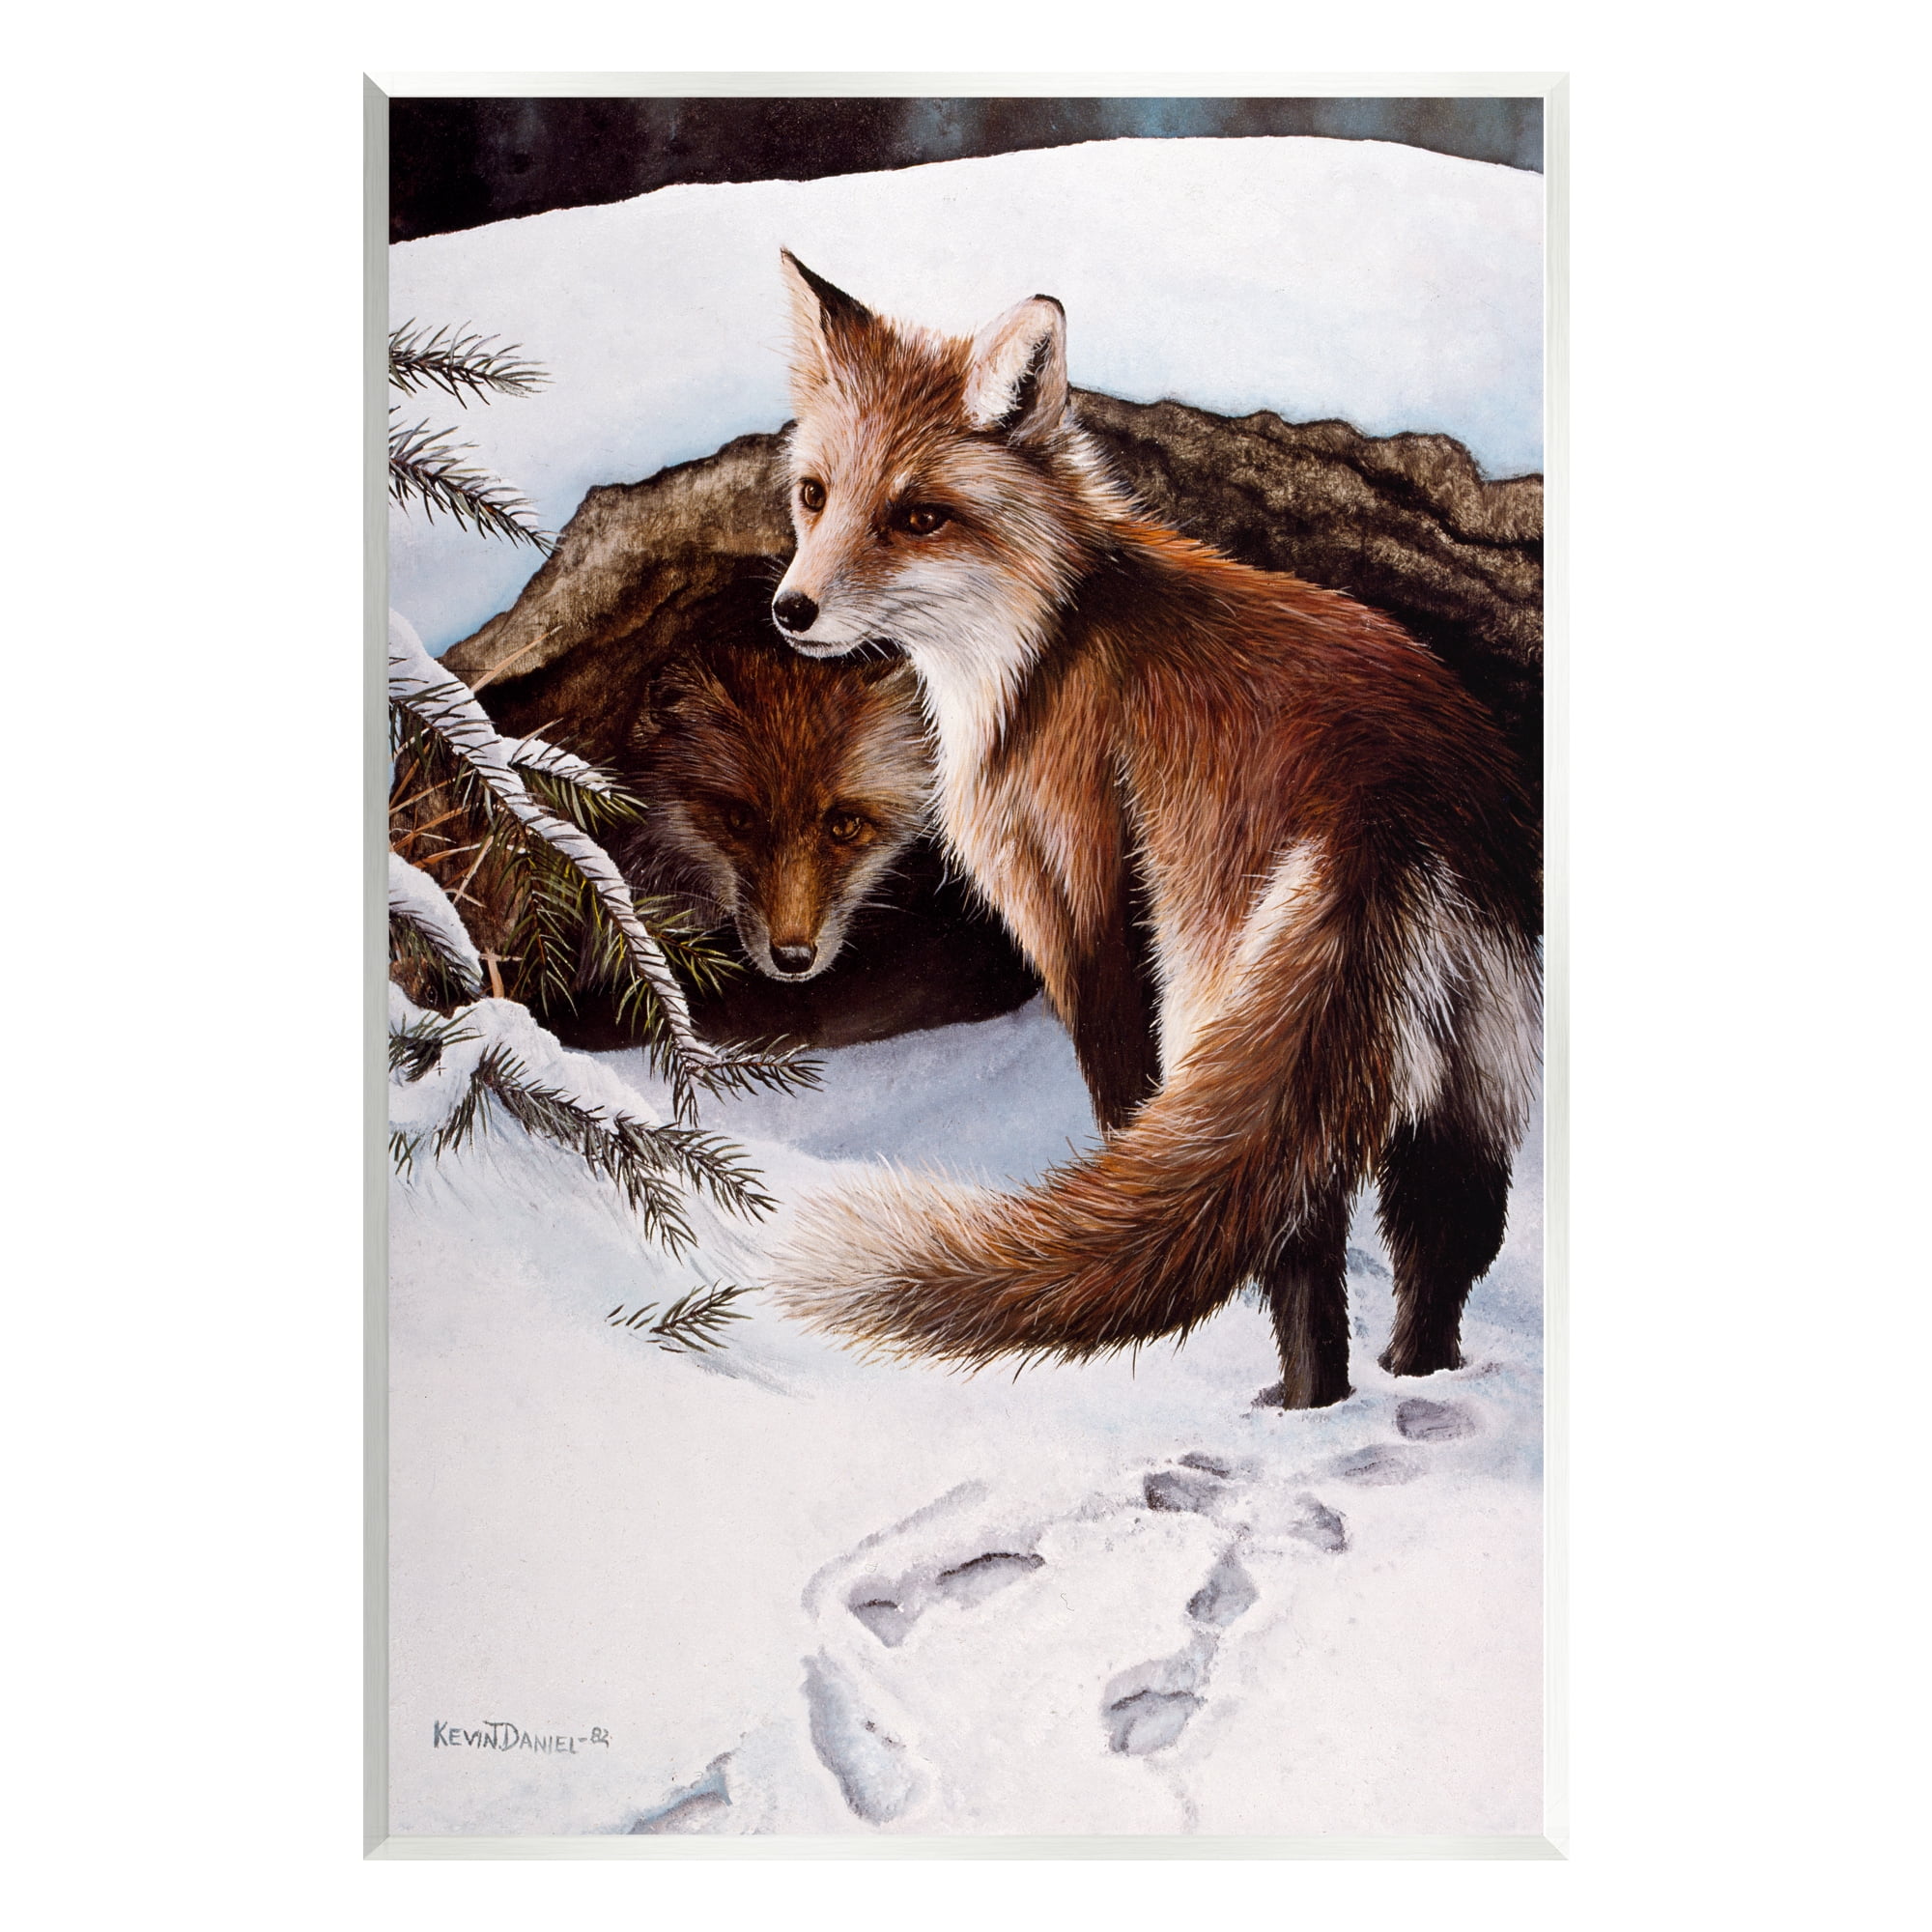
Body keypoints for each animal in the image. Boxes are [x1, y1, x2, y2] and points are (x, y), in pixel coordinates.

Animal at [763, 252, 1542, 1409]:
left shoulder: (1072, 898)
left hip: (1225, 1009)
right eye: (815, 495)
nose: (791, 610)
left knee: (1295, 1242)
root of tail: (1392, 802)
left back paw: (1296, 1405)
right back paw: (1404, 1387)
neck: (1046, 637)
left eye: (917, 517)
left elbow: (1120, 1104)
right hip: (1457, 1087)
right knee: (1435, 1249)